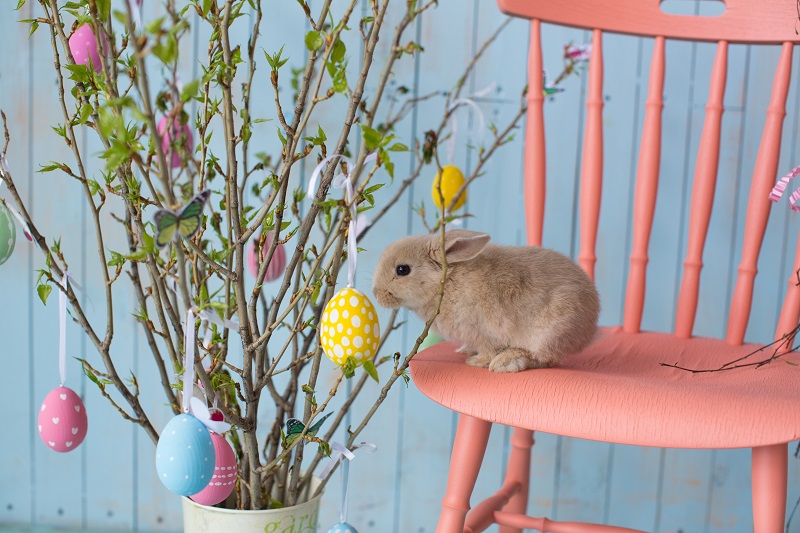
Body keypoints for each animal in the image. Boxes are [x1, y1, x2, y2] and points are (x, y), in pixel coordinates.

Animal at [372, 231, 596, 372]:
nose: (376, 294)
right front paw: (466, 351)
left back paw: (506, 362)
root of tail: (590, 327)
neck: (444, 283)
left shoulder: (483, 333)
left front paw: (475, 361)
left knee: (543, 358)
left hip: (548, 333)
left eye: (402, 269)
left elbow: (488, 350)